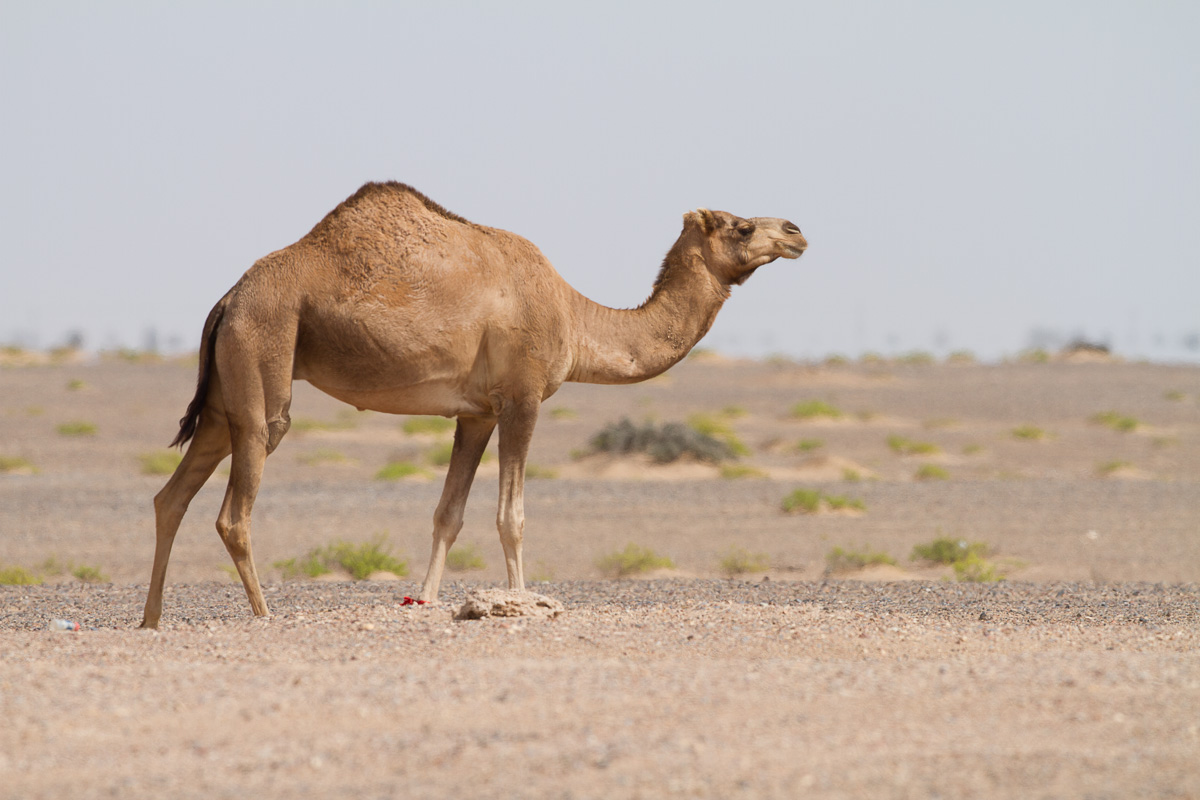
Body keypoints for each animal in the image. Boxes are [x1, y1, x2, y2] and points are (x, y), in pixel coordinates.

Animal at [142, 181, 806, 623]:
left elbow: (448, 514)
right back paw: (263, 615)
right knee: (237, 504)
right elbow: (511, 516)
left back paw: (151, 620)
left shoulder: (476, 412)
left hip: (224, 393)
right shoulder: (522, 397)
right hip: (264, 351)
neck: (575, 318)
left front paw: (428, 598)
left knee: (171, 495)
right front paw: (521, 603)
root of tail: (227, 299)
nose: (796, 232)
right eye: (743, 227)